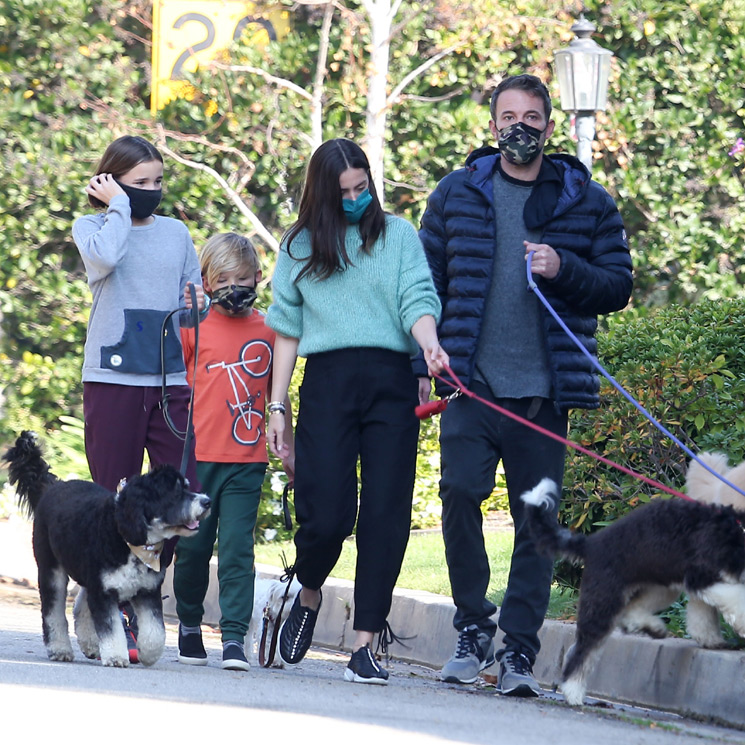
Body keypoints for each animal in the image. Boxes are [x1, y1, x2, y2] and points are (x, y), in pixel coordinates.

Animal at [4, 430, 211, 668]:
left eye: (187, 486)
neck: (129, 539)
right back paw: (60, 649)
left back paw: (90, 644)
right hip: (51, 569)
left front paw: (147, 653)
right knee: (52, 613)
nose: (207, 501)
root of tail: (53, 487)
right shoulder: (104, 592)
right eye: (175, 493)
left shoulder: (146, 591)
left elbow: (155, 632)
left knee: (81, 605)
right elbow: (111, 629)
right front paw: (116, 656)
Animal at [520, 480, 744, 708]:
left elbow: (704, 615)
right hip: (604, 600)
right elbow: (736, 600)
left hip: (659, 586)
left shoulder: (701, 582)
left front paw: (712, 640)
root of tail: (592, 544)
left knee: (631, 612)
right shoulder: (703, 577)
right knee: (584, 649)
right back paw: (573, 692)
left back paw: (653, 627)